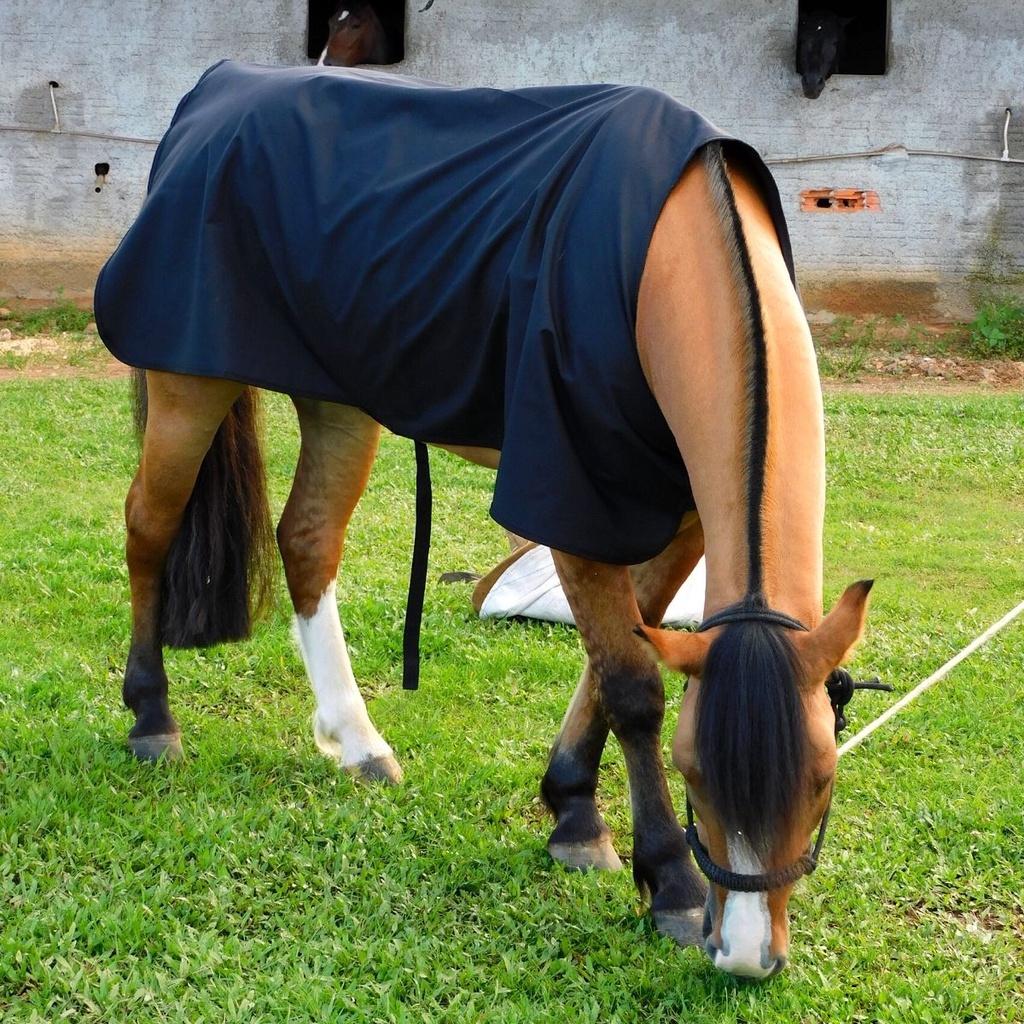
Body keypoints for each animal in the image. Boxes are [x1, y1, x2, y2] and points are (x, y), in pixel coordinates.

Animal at [94, 62, 873, 979]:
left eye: (822, 779)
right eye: (694, 777)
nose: (749, 954)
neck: (663, 255)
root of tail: (212, 93)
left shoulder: (681, 518)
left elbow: (617, 660)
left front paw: (571, 809)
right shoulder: (570, 499)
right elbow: (631, 687)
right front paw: (668, 881)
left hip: (338, 403)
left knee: (307, 542)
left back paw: (356, 740)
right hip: (190, 385)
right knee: (148, 528)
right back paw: (152, 718)